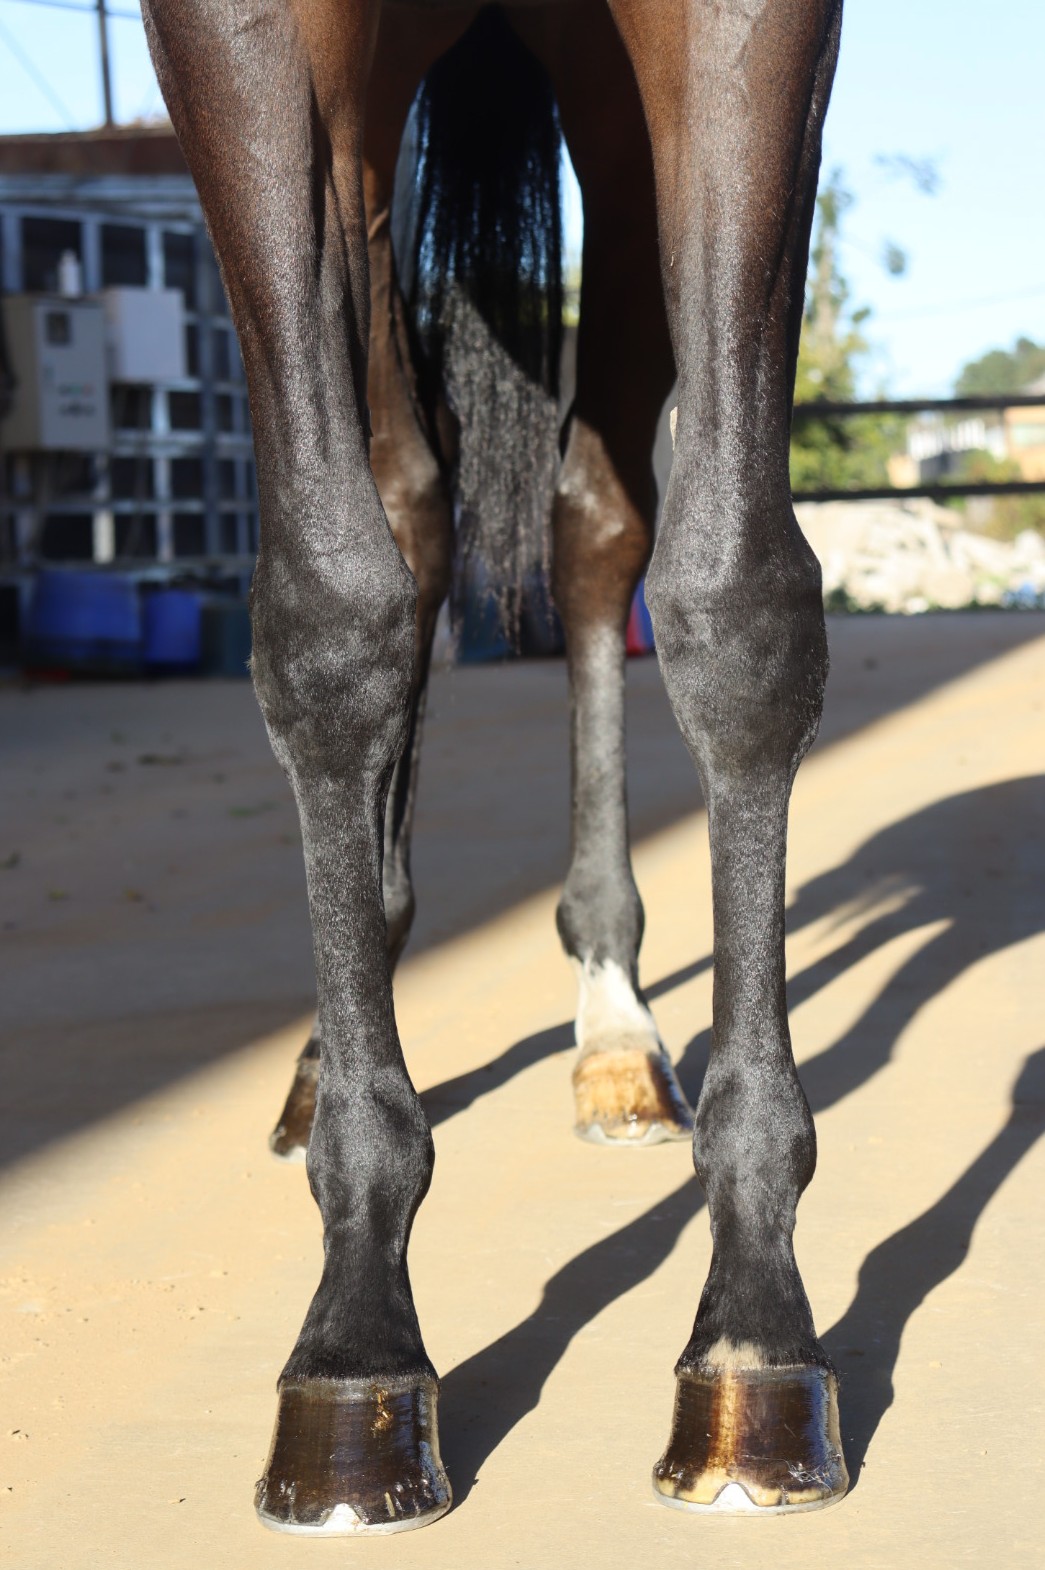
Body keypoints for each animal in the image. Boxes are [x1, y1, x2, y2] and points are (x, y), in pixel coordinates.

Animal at [142, 0, 847, 1533]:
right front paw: (355, 1343)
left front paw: (752, 1331)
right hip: (364, 142)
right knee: (405, 504)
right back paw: (335, 1041)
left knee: (592, 516)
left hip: (604, 116)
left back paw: (615, 1023)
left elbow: (739, 600)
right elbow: (331, 611)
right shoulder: (241, 37)